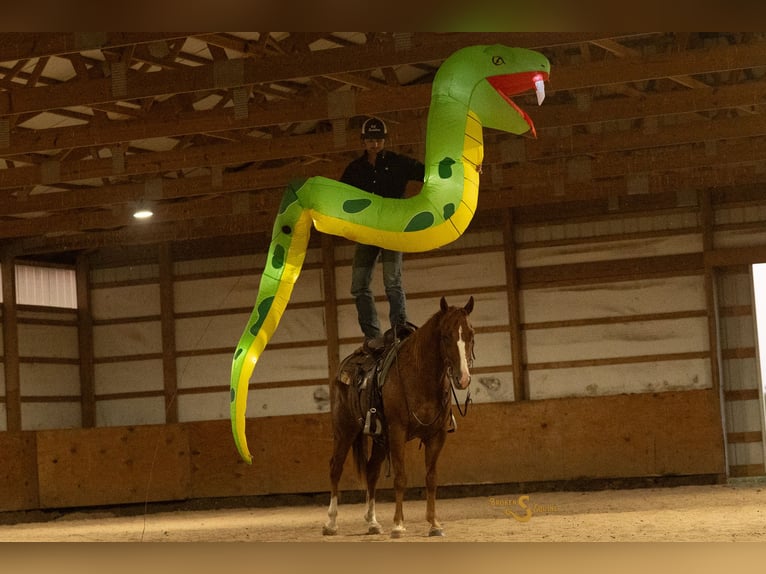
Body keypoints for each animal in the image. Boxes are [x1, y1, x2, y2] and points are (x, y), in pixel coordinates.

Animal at [322, 296, 475, 538]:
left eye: (471, 334)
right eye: (445, 336)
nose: (463, 378)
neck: (419, 377)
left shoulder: (437, 435)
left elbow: (431, 478)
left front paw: (434, 524)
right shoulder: (397, 432)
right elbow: (400, 477)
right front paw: (398, 524)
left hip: (379, 439)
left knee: (372, 471)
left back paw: (373, 522)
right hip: (344, 430)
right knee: (335, 468)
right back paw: (331, 523)